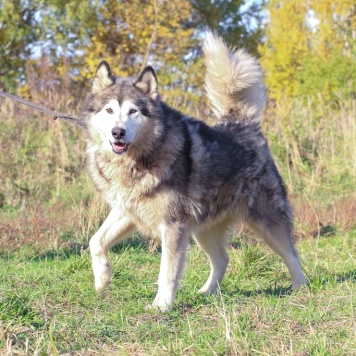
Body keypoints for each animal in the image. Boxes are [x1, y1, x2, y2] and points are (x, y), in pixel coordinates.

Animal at [83, 33, 306, 312]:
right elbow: (96, 241)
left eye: (133, 111)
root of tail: (241, 124)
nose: (118, 132)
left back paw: (300, 287)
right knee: (222, 259)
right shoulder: (128, 210)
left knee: (291, 253)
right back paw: (208, 292)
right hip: (203, 230)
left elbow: (167, 272)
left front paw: (161, 306)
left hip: (267, 220)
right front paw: (102, 278)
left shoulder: (172, 226)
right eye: (109, 110)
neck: (136, 160)